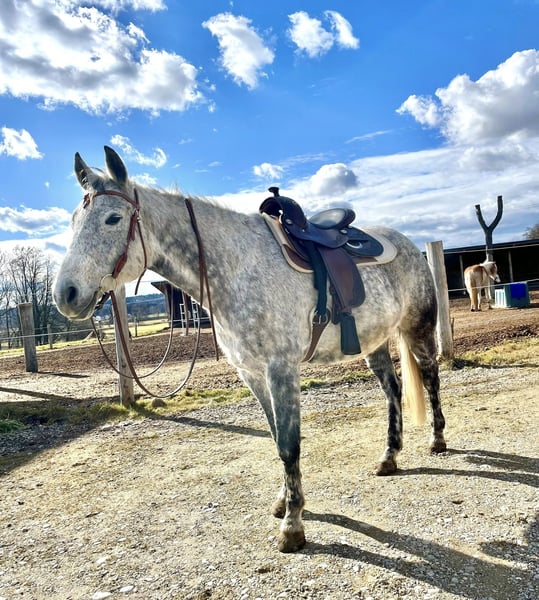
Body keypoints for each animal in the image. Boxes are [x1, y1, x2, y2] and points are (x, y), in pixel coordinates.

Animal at [53, 146, 446, 553]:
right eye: (73, 220)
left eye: (113, 218)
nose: (65, 294)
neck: (238, 270)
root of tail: (407, 243)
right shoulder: (252, 373)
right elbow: (276, 438)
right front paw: (283, 502)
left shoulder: (280, 369)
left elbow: (289, 445)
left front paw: (293, 526)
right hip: (375, 342)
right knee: (393, 390)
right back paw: (389, 457)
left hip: (417, 329)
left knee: (430, 377)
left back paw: (437, 440)